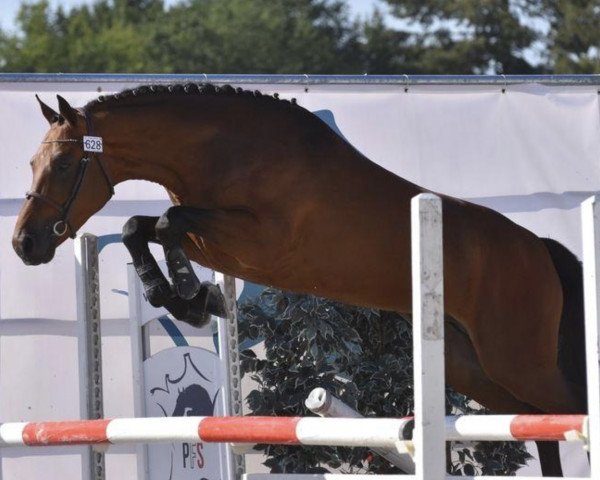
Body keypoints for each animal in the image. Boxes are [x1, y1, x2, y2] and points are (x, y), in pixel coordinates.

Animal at [12, 83, 584, 476]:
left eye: (63, 164)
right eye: (34, 161)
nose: (24, 244)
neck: (224, 149)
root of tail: (537, 247)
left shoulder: (255, 243)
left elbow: (168, 223)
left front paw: (194, 297)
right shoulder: (216, 240)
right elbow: (139, 225)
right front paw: (181, 297)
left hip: (516, 356)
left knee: (564, 409)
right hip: (473, 366)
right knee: (540, 420)